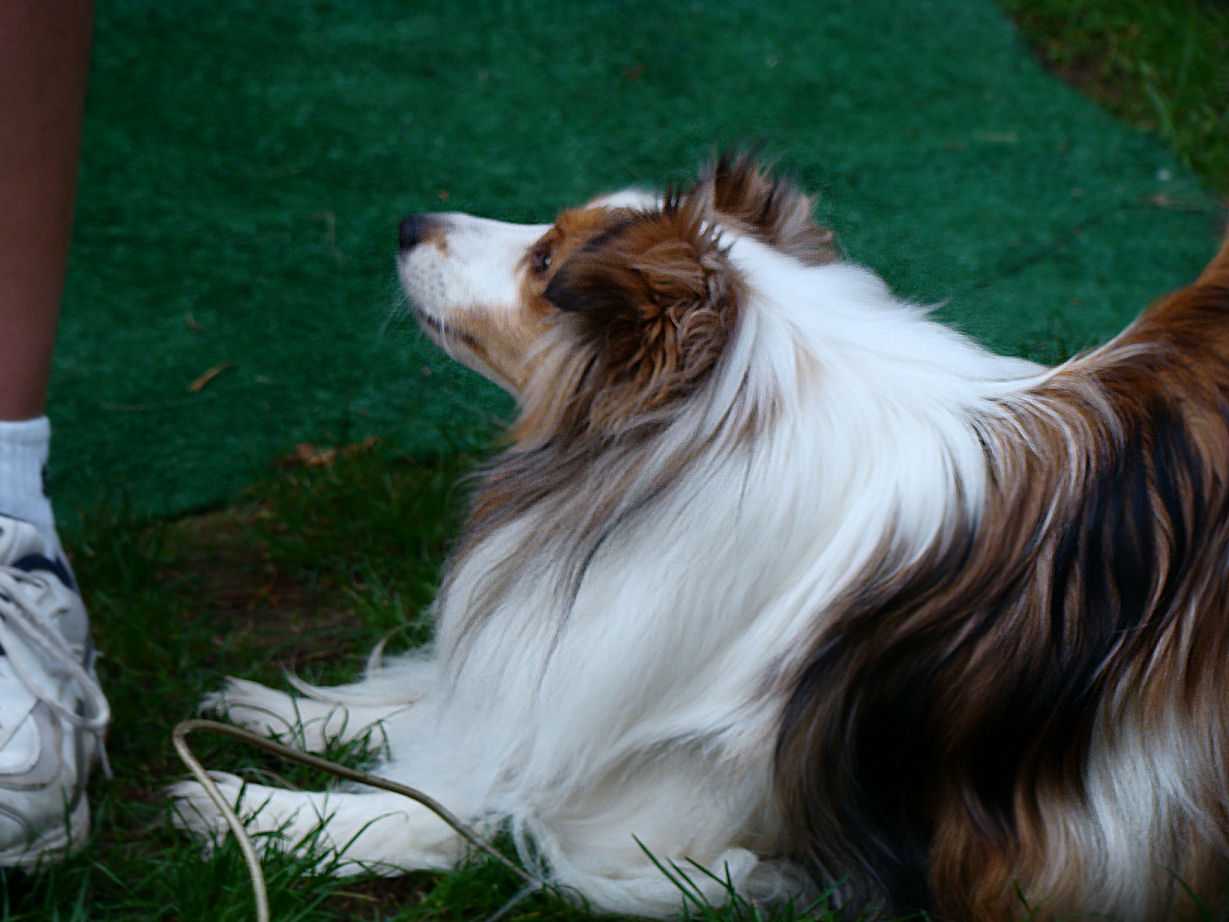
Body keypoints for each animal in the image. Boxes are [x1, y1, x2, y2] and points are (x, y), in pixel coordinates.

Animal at [170, 155, 1229, 919]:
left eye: (545, 265)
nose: (406, 225)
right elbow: (449, 709)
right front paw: (280, 715)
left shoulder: (681, 821)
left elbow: (469, 814)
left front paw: (249, 808)